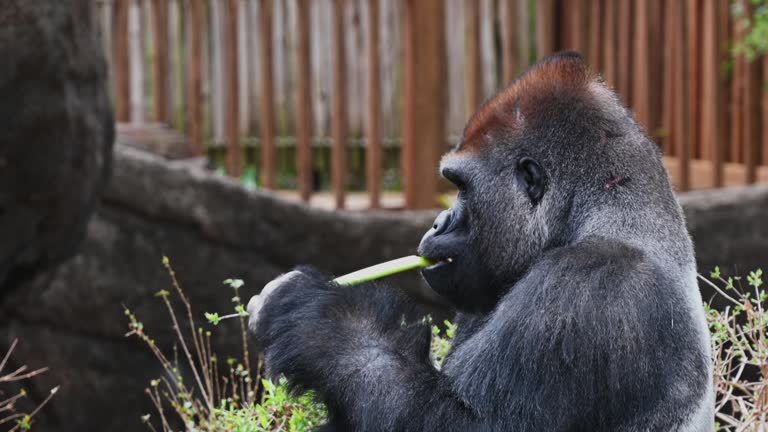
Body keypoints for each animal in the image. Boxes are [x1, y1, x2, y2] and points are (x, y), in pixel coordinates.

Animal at [249, 52, 716, 430]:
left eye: (461, 187)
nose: (438, 223)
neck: (603, 212)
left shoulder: (592, 282)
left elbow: (465, 424)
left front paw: (315, 318)